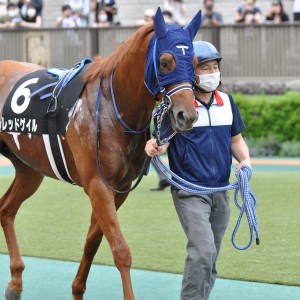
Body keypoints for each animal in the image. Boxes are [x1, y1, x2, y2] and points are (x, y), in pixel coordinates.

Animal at [0, 7, 202, 300]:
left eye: (195, 62)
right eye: (165, 62)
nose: (187, 115)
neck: (111, 107)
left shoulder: (119, 188)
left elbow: (94, 239)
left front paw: (77, 289)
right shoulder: (97, 184)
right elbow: (120, 250)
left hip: (30, 170)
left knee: (6, 209)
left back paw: (15, 282)